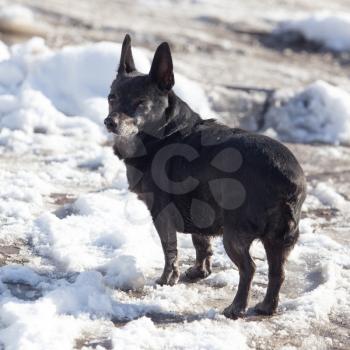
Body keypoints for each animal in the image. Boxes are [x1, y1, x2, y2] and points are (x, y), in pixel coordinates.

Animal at [104, 34, 306, 318]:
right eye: (111, 98)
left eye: (140, 103)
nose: (110, 122)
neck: (163, 133)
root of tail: (287, 178)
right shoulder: (198, 209)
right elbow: (201, 243)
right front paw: (200, 272)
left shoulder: (161, 213)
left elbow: (170, 250)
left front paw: (167, 280)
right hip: (278, 240)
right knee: (278, 272)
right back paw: (266, 307)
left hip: (235, 235)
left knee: (249, 269)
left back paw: (236, 307)